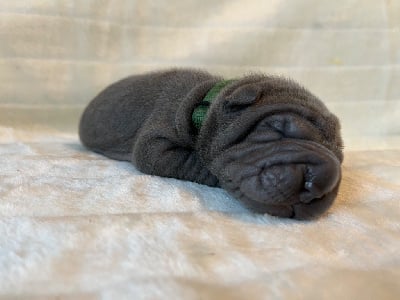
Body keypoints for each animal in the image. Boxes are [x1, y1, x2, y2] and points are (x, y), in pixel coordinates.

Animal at [79, 69, 342, 219]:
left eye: (340, 158)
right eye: (278, 128)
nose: (321, 181)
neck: (206, 100)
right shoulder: (156, 139)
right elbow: (184, 160)